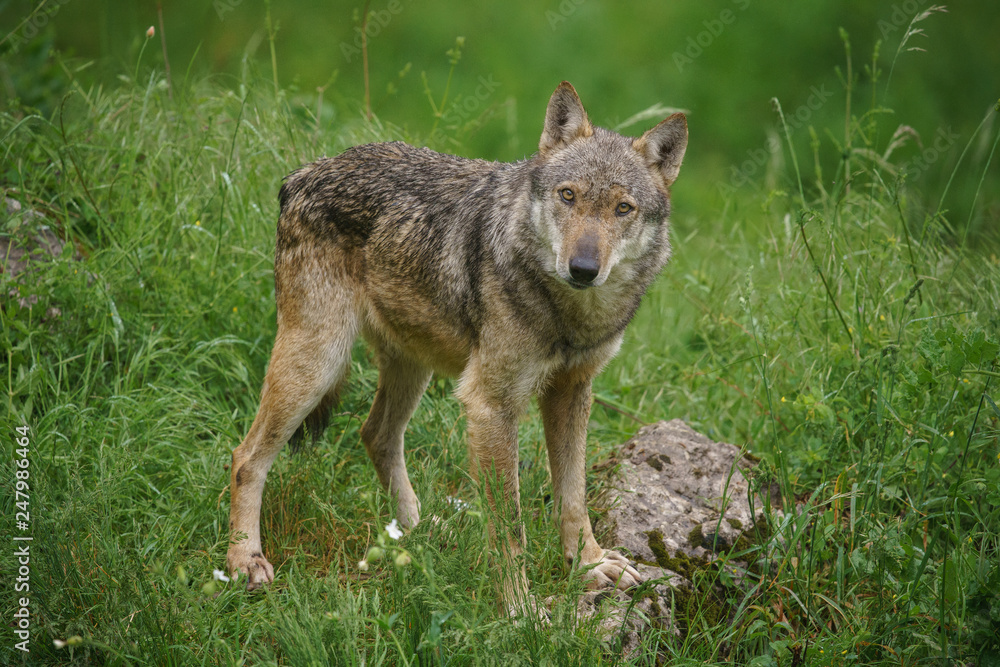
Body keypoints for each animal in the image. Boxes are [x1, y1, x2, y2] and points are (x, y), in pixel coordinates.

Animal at [227, 81, 688, 608]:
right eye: (568, 195)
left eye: (622, 208)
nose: (583, 268)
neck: (568, 314)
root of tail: (303, 173)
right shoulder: (490, 406)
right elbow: (510, 529)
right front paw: (523, 611)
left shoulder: (572, 391)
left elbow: (573, 496)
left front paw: (590, 566)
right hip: (318, 364)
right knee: (246, 457)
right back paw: (244, 561)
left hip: (411, 368)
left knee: (375, 435)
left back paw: (421, 534)